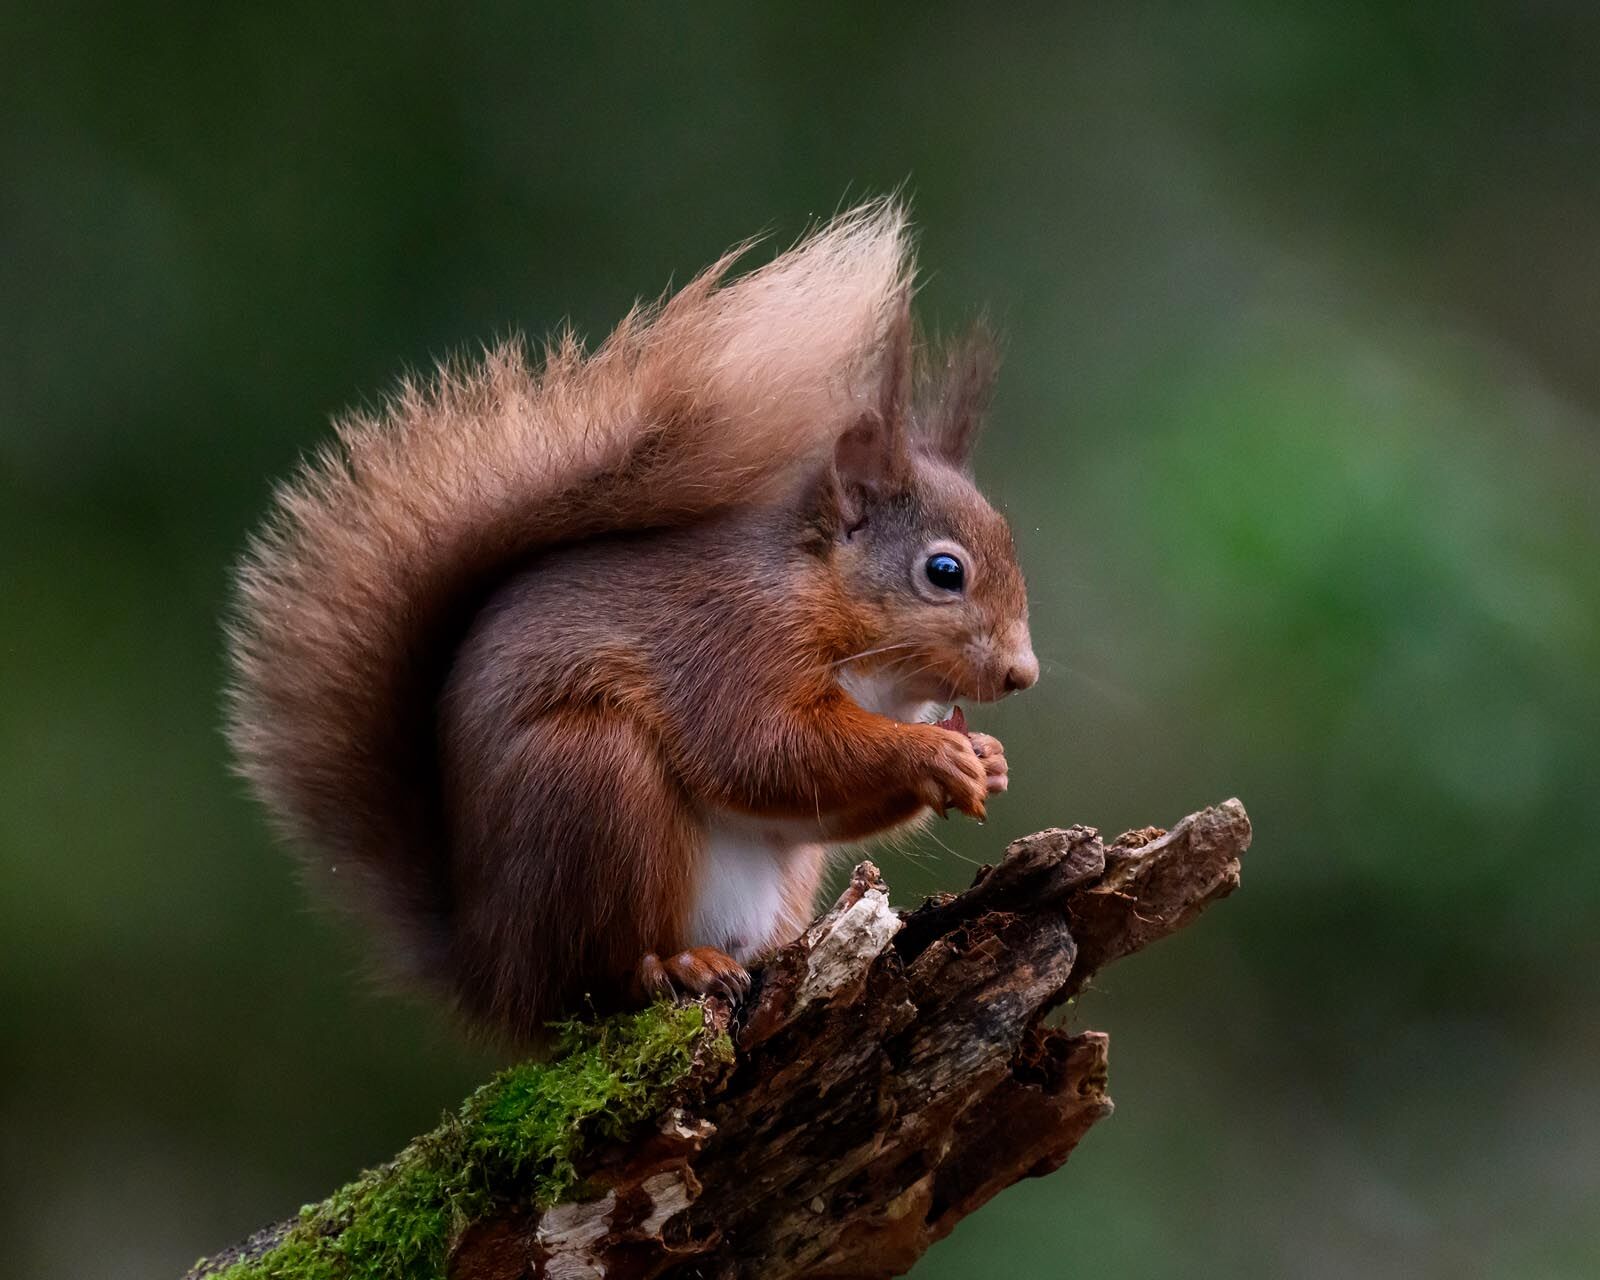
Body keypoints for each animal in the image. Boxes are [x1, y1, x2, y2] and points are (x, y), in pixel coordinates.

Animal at [226, 202, 1037, 1044]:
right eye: (944, 572)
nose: (1023, 673)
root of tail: (490, 971)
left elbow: (811, 805)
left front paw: (987, 758)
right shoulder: (732, 641)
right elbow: (762, 749)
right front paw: (932, 754)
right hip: (593, 782)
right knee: (599, 975)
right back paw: (670, 966)